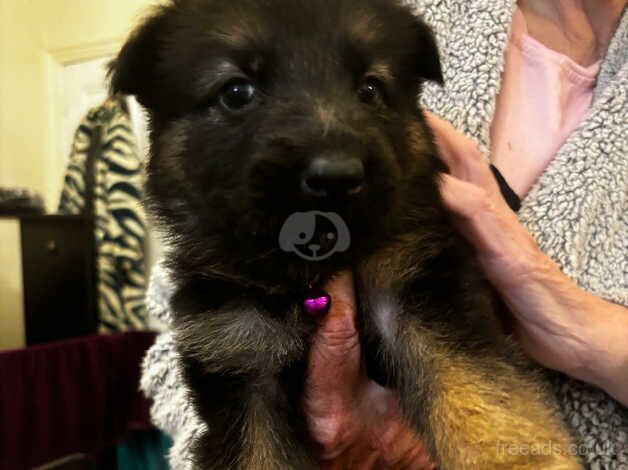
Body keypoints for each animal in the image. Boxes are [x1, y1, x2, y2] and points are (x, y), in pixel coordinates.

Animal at [110, 0, 580, 466]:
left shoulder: (418, 292)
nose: (336, 176)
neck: (310, 266)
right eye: (237, 91)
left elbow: (484, 406)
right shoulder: (241, 354)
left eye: (370, 89)